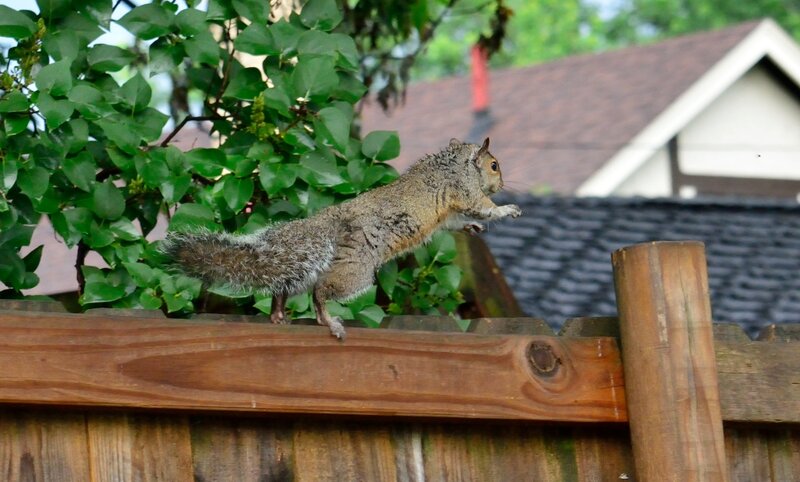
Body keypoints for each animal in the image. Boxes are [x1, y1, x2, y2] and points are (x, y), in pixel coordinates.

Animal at [161, 137, 522, 340]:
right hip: (356, 270)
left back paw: (277, 314)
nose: (502, 184)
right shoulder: (465, 191)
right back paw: (328, 321)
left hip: (310, 265)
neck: (453, 163)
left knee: (286, 284)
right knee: (321, 292)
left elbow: (457, 221)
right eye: (494, 165)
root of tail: (326, 224)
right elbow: (482, 208)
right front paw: (507, 210)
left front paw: (472, 228)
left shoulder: (450, 208)